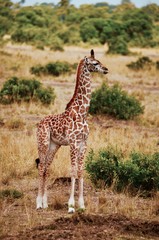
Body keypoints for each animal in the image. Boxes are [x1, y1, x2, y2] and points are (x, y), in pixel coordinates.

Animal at [36, 49, 108, 212]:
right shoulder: (74, 143)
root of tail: (38, 123)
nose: (106, 69)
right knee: (41, 167)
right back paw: (38, 203)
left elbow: (81, 171)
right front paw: (70, 206)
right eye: (95, 63)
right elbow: (73, 171)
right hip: (43, 142)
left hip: (54, 145)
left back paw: (45, 203)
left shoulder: (84, 143)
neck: (82, 112)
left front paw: (81, 205)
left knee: (47, 168)